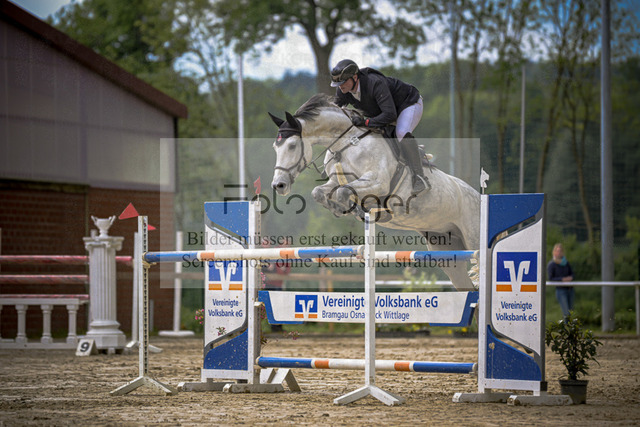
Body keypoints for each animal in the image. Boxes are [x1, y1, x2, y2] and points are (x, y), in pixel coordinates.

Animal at [269, 94, 481, 291]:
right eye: (275, 148)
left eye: (292, 146)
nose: (279, 185)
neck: (346, 143)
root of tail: (480, 196)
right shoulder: (335, 180)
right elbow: (319, 192)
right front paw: (339, 208)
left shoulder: (377, 182)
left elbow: (344, 192)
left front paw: (355, 209)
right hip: (446, 250)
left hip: (473, 242)